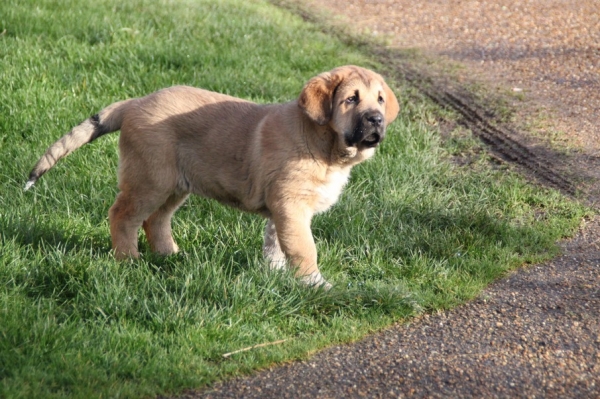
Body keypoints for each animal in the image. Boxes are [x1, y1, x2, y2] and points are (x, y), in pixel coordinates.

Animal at [25, 66, 398, 290]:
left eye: (380, 100)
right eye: (351, 99)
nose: (377, 120)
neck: (325, 146)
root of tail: (136, 103)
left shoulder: (280, 208)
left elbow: (275, 244)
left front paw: (274, 275)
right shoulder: (291, 206)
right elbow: (304, 248)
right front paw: (316, 284)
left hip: (176, 184)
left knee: (155, 221)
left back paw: (170, 256)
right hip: (150, 180)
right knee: (123, 216)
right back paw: (129, 261)